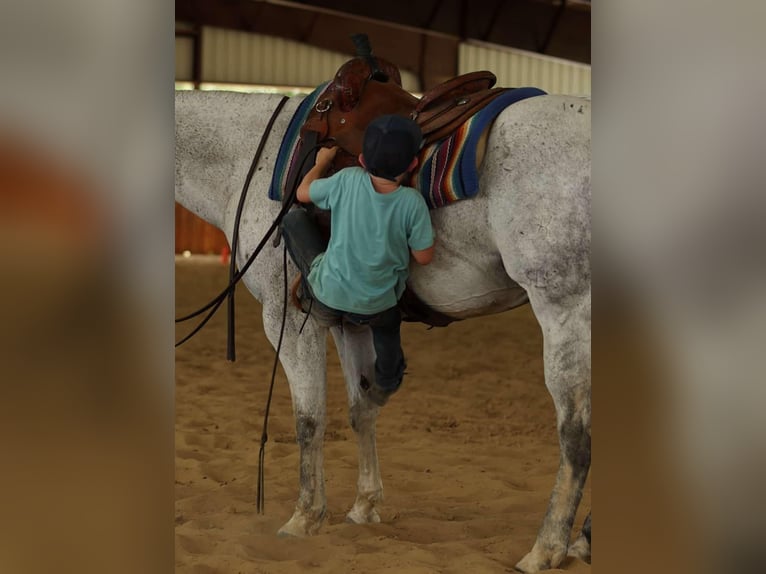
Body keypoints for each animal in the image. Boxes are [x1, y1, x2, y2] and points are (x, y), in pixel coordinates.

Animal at [175, 88, 591, 573]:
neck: (246, 159)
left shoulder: (287, 318)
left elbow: (309, 419)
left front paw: (305, 517)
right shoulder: (348, 321)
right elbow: (361, 410)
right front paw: (364, 506)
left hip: (565, 311)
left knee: (575, 436)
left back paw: (547, 546)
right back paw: (582, 541)